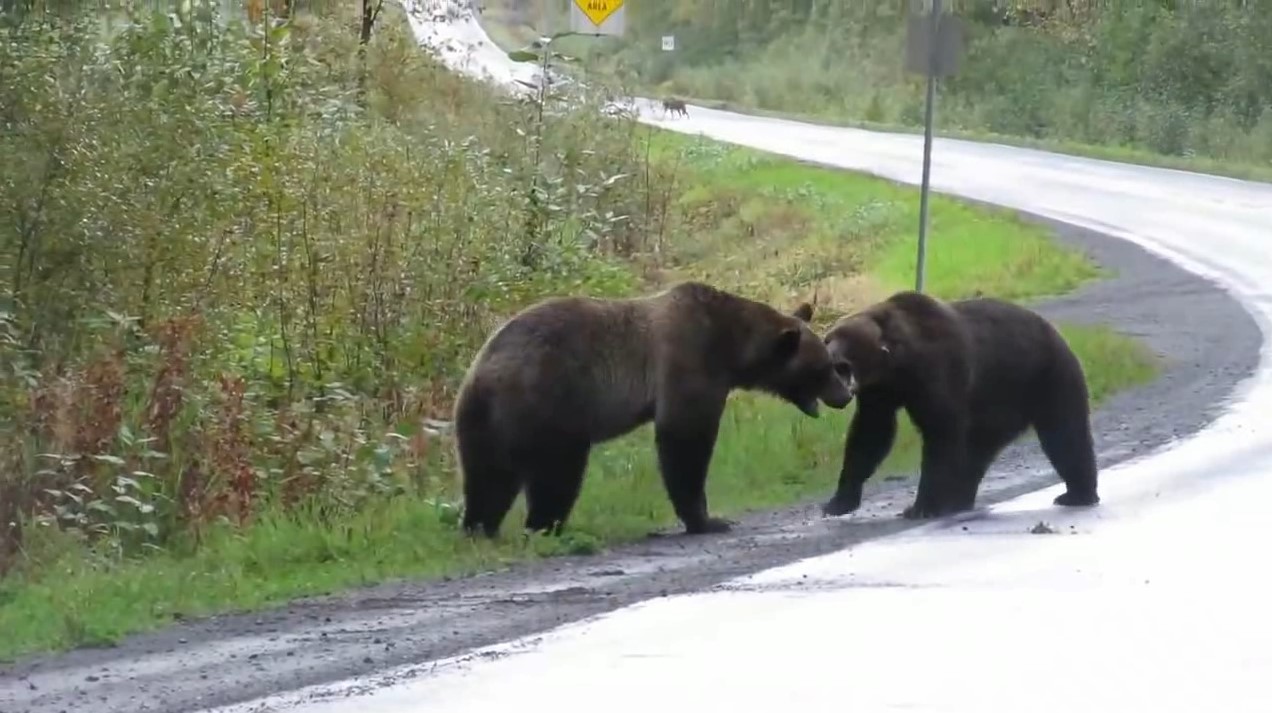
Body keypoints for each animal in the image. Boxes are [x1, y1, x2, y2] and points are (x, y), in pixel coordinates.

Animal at [455, 280, 854, 536]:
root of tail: (483, 375)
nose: (845, 395)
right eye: (823, 368)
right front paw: (708, 520)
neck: (731, 346)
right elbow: (684, 440)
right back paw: (545, 524)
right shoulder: (689, 360)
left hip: (483, 421)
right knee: (557, 470)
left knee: (488, 476)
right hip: (550, 403)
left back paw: (480, 526)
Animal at [819, 287, 1099, 516]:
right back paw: (961, 497)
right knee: (977, 450)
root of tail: (1057, 333)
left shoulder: (937, 372)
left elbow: (940, 432)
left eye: (844, 358)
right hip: (1000, 404)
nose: (830, 356)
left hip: (1045, 378)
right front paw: (838, 501)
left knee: (1064, 434)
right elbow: (870, 434)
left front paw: (922, 506)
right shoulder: (880, 391)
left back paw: (1077, 494)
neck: (898, 362)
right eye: (828, 340)